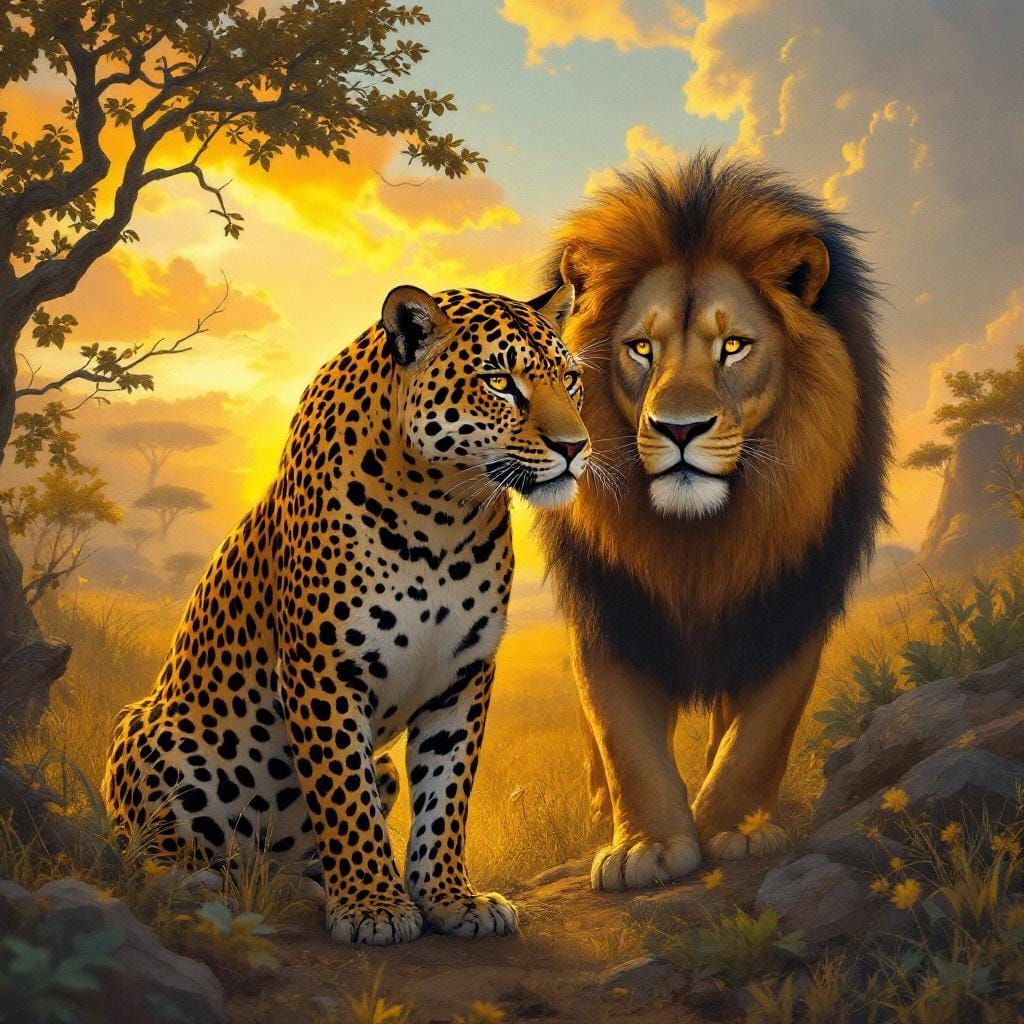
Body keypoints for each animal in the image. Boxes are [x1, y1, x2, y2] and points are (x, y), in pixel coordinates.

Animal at [102, 280, 588, 946]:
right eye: (498, 381)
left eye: (571, 380)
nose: (576, 447)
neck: (445, 515)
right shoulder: (324, 668)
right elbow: (344, 794)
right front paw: (373, 907)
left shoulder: (463, 677)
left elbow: (446, 795)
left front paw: (451, 898)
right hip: (149, 736)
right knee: (148, 846)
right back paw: (189, 880)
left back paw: (302, 883)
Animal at [533, 152, 891, 891]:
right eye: (641, 348)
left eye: (733, 346)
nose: (680, 428)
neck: (701, 538)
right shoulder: (610, 608)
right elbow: (623, 739)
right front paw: (645, 846)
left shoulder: (790, 602)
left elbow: (760, 733)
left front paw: (737, 828)